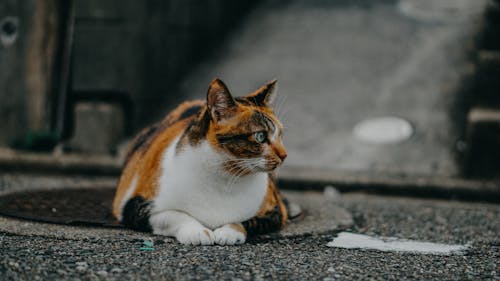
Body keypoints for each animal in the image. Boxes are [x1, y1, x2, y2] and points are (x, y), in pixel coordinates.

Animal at [111, 77, 288, 244]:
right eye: (260, 136)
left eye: (280, 134)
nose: (284, 155)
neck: (225, 176)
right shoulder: (134, 207)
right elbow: (174, 215)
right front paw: (196, 232)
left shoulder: (275, 212)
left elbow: (247, 221)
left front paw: (229, 232)